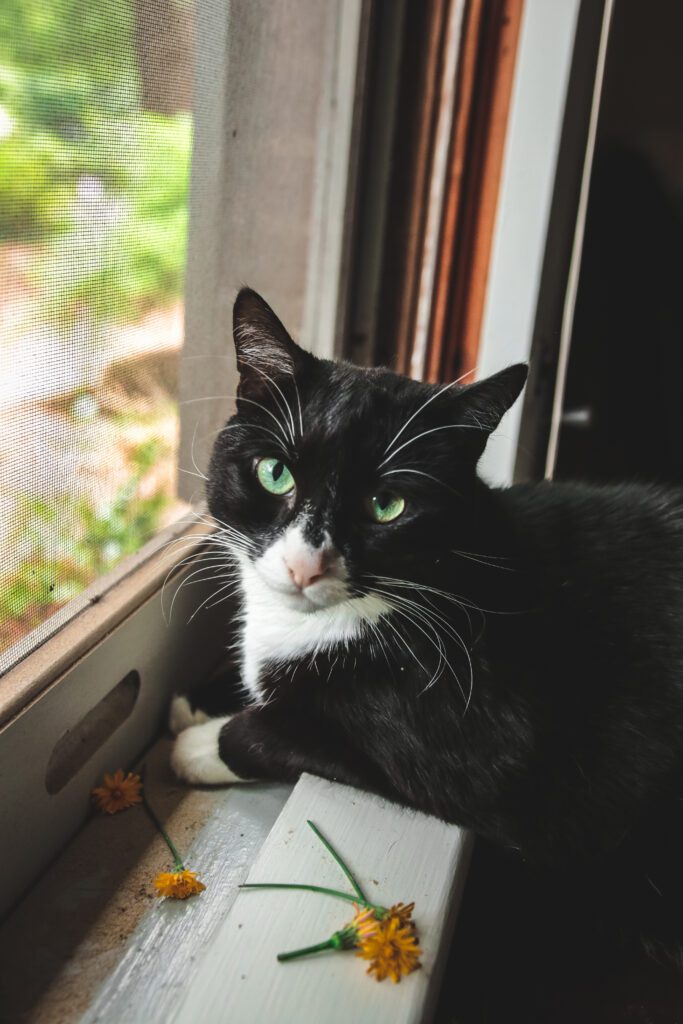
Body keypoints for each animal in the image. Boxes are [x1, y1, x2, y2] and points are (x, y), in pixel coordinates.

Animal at [169, 286, 683, 958]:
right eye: (275, 473)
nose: (305, 565)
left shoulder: (475, 744)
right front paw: (197, 700)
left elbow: (271, 728)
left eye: (387, 505)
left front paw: (200, 744)